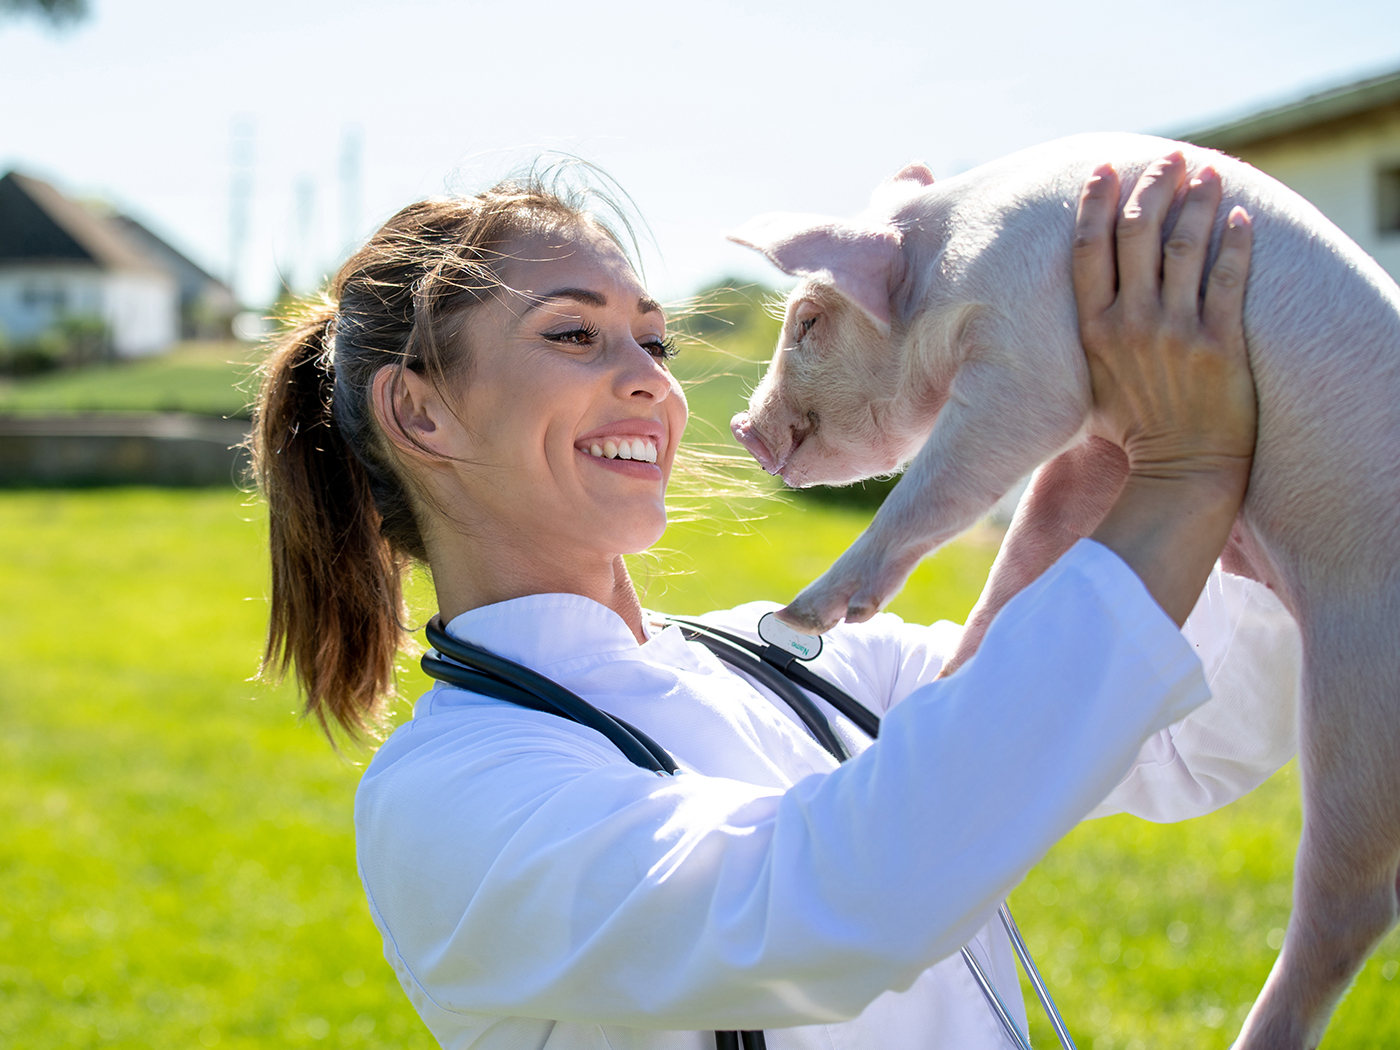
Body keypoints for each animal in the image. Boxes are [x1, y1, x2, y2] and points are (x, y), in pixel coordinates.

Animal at [727, 132, 1400, 1050]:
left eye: (807, 323)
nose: (743, 429)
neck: (951, 264)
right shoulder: (1094, 437)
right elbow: (1032, 542)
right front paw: (947, 688)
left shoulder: (1030, 363)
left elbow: (942, 490)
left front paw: (801, 616)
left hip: (1362, 676)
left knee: (1348, 903)